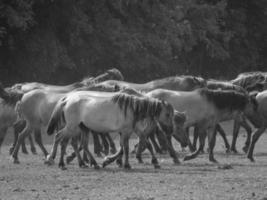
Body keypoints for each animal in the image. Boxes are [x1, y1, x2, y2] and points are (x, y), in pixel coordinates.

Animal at [45, 91, 185, 170]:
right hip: (71, 127)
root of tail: (67, 100)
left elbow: (124, 148)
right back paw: (56, 161)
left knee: (80, 144)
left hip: (82, 128)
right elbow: (126, 148)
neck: (131, 108)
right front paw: (126, 165)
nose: (170, 129)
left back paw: (92, 164)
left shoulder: (126, 131)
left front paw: (109, 161)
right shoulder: (126, 131)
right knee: (60, 138)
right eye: (167, 114)